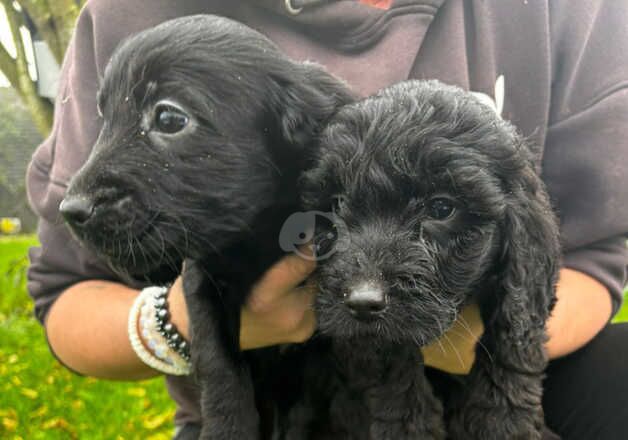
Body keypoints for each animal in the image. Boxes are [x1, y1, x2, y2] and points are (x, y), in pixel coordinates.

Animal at [61, 14, 356, 440]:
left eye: (169, 119)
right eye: (104, 117)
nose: (70, 210)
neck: (255, 238)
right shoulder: (203, 281)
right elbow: (218, 361)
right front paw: (227, 428)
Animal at [290, 80, 560, 440]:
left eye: (442, 208)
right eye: (336, 204)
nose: (362, 302)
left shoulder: (522, 298)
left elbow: (512, 350)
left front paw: (501, 424)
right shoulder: (364, 340)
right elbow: (391, 371)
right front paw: (409, 424)